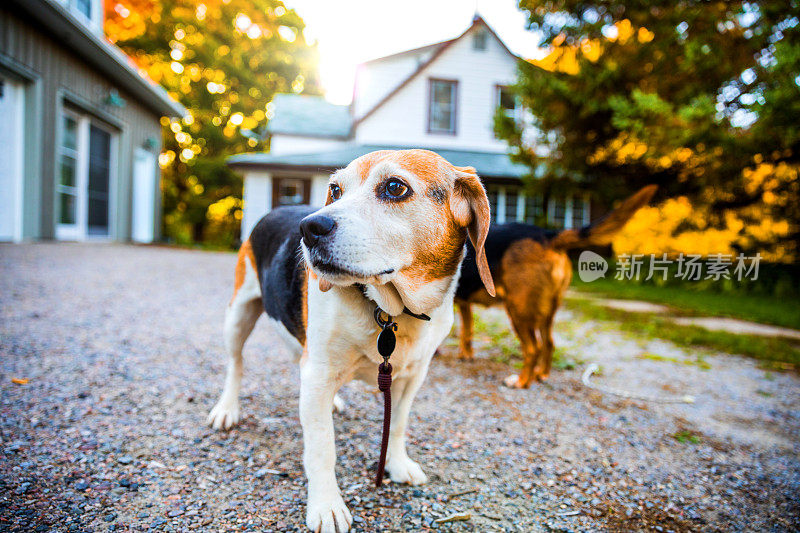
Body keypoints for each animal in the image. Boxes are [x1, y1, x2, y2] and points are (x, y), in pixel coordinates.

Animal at [206, 148, 494, 528]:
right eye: (335, 190)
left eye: (395, 187)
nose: (309, 228)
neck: (389, 310)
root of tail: (277, 209)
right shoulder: (318, 373)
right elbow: (321, 447)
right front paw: (326, 505)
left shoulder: (412, 378)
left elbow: (397, 424)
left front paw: (396, 464)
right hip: (238, 315)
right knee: (236, 364)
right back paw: (227, 409)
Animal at [454, 185, 660, 388]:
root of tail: (548, 235)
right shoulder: (464, 303)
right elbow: (467, 332)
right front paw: (466, 355)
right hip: (545, 312)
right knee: (549, 344)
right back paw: (540, 374)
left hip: (518, 310)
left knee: (533, 348)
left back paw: (522, 381)